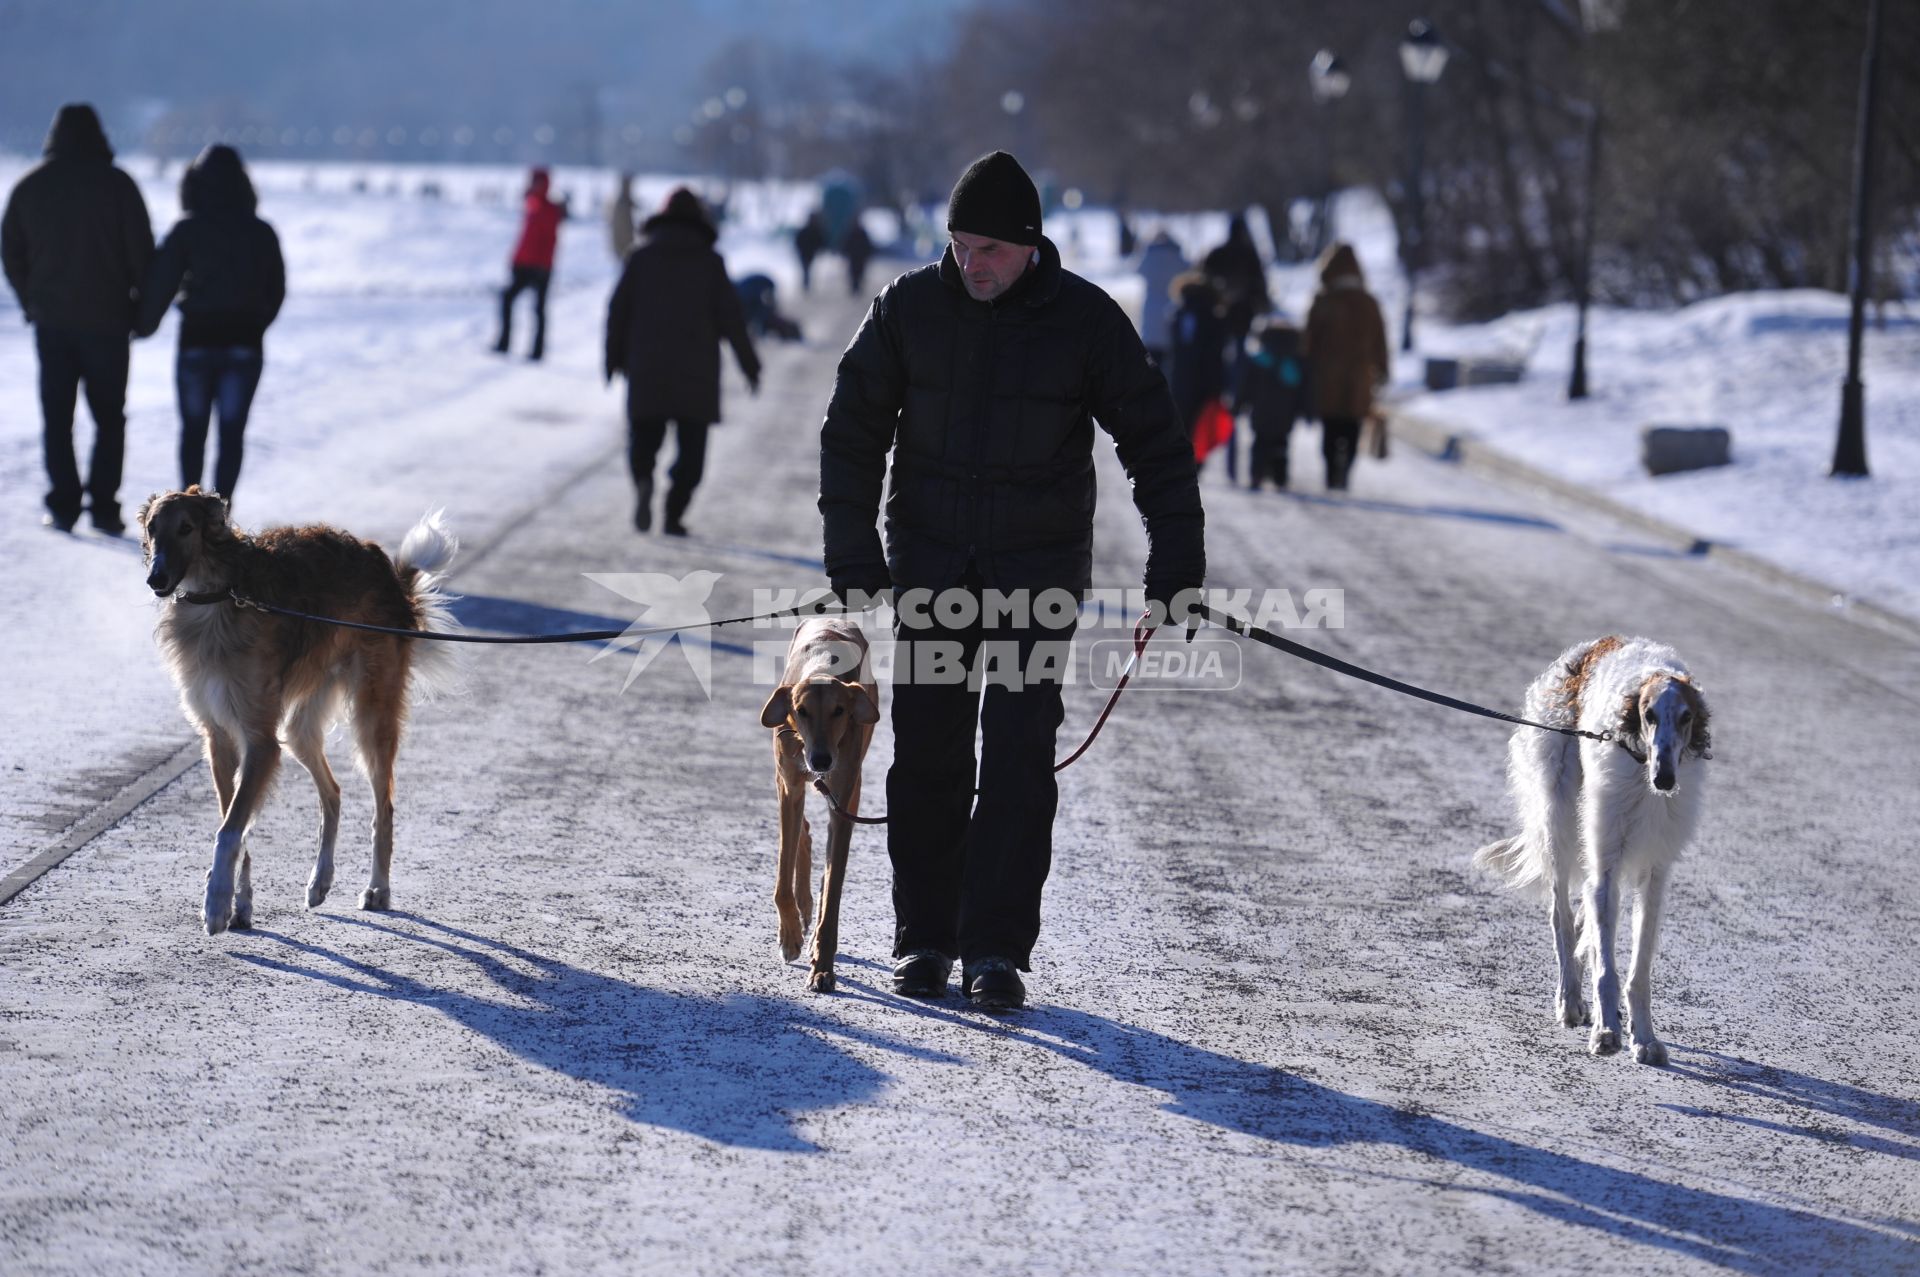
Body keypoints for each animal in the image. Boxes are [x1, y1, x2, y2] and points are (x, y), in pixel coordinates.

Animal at [764, 614, 883, 990]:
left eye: (839, 711)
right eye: (800, 711)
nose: (821, 760)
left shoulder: (844, 799)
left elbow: (833, 894)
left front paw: (823, 965)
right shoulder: (789, 784)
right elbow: (782, 878)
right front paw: (790, 937)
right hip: (789, 782)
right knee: (801, 829)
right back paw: (802, 911)